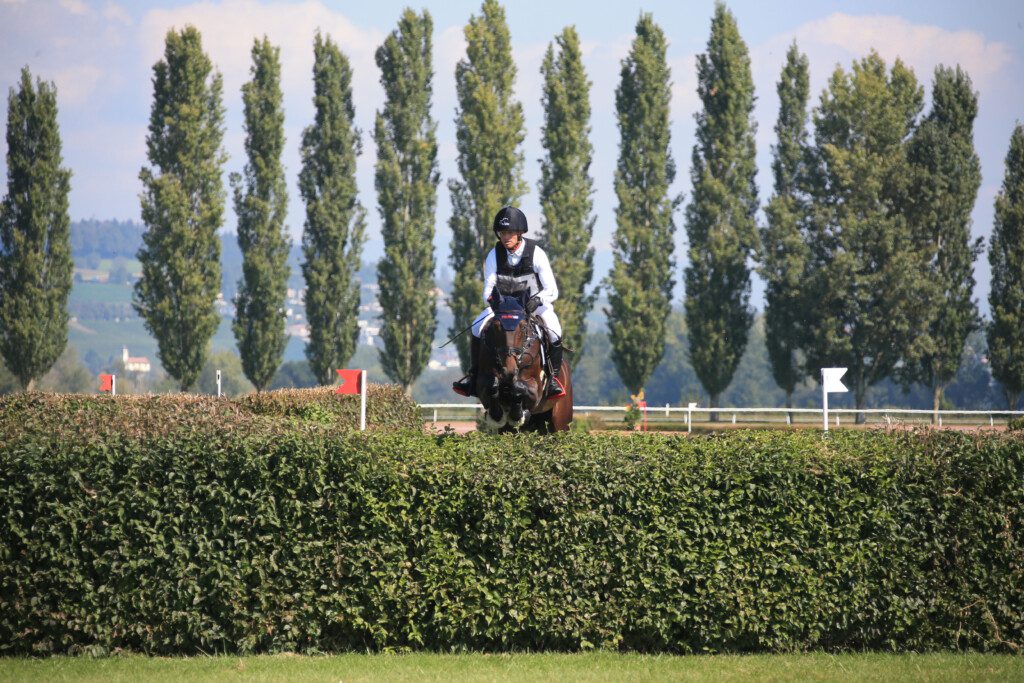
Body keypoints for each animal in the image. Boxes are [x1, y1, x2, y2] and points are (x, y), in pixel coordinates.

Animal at [475, 294, 573, 432]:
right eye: (496, 327)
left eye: (523, 327)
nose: (509, 371)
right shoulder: (481, 384)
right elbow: (491, 385)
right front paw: (498, 415)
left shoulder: (535, 389)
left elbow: (518, 387)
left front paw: (518, 415)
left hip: (560, 421)